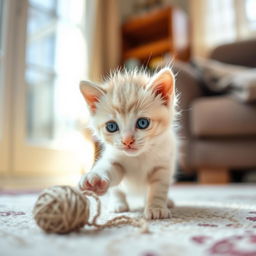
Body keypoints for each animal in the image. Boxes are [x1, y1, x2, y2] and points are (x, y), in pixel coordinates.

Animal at [79, 67, 177, 219]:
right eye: (111, 126)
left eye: (143, 123)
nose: (127, 141)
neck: (139, 156)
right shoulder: (115, 160)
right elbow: (109, 171)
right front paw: (95, 179)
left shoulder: (163, 166)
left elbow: (158, 188)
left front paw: (156, 207)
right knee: (117, 189)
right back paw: (117, 204)